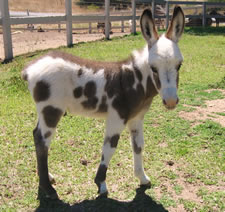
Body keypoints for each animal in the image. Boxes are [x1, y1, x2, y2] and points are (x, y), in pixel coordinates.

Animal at [22, 6, 185, 199]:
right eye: (153, 68)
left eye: (179, 65)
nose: (171, 101)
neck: (134, 80)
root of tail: (31, 67)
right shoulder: (116, 118)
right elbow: (109, 148)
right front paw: (101, 184)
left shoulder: (136, 119)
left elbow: (138, 146)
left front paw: (142, 178)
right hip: (51, 111)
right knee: (42, 141)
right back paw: (47, 188)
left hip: (45, 111)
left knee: (36, 135)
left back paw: (47, 177)